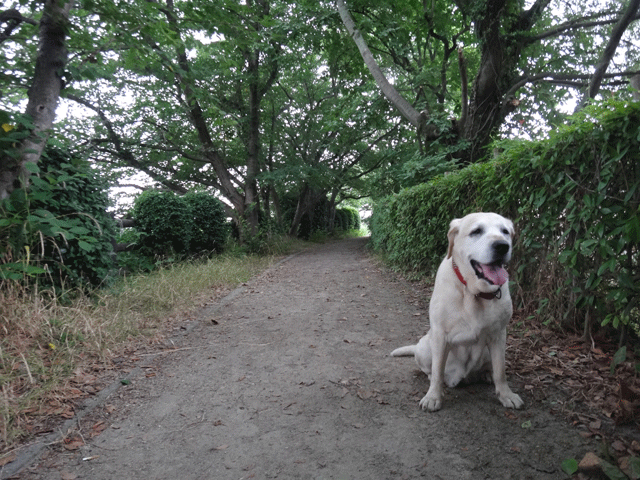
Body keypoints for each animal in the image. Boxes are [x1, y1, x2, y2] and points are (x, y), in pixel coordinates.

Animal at [392, 212, 524, 410]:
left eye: (505, 231)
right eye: (476, 231)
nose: (502, 246)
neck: (473, 292)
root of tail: (464, 377)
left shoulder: (499, 335)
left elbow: (500, 370)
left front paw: (506, 395)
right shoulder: (440, 335)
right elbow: (437, 371)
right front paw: (433, 397)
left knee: (489, 368)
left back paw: (486, 375)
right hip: (424, 348)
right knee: (432, 370)